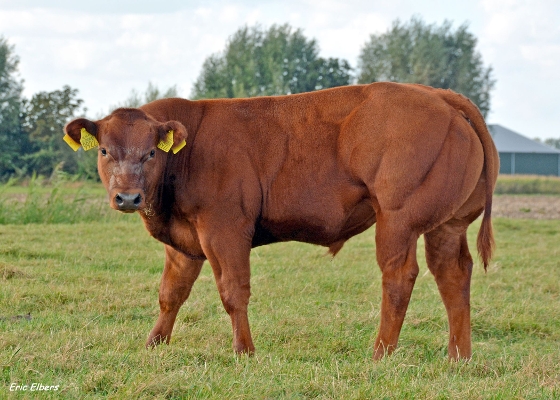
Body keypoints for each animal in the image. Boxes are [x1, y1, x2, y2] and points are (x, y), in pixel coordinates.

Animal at [64, 82, 498, 360]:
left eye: (151, 153)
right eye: (104, 150)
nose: (127, 197)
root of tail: (439, 95)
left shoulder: (224, 228)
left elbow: (233, 290)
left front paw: (244, 352)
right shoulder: (184, 238)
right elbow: (171, 293)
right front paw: (153, 344)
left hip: (398, 219)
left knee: (399, 276)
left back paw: (380, 354)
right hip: (448, 224)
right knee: (453, 273)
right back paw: (458, 357)